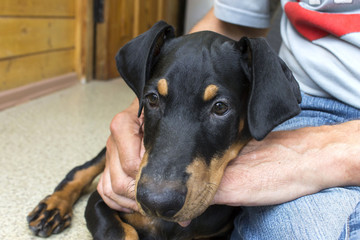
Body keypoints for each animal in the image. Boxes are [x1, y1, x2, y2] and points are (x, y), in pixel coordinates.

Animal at [26, 21, 300, 239]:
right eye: (152, 98)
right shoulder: (102, 201)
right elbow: (120, 231)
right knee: (84, 169)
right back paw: (53, 207)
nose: (155, 203)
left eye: (220, 107)